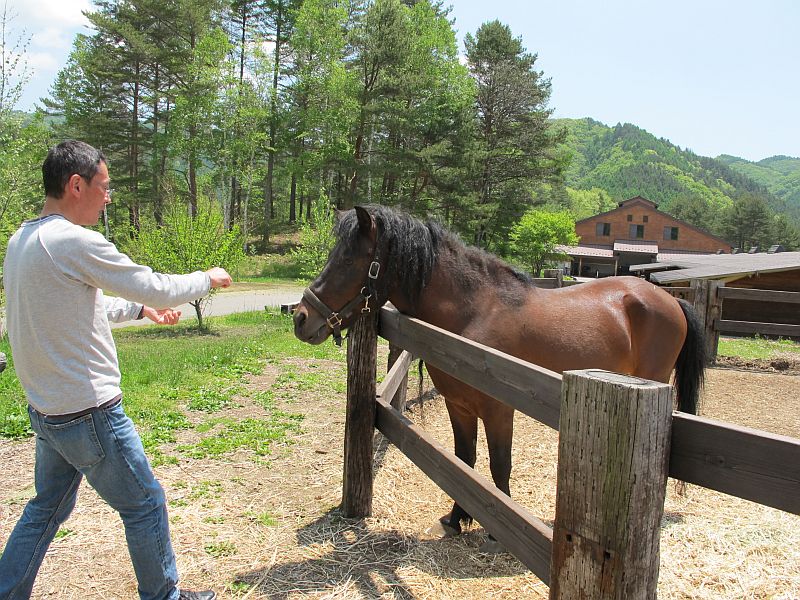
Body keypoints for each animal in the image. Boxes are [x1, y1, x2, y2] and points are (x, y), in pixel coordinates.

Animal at [294, 207, 708, 548]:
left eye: (349, 258)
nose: (301, 318)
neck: (474, 313)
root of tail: (670, 299)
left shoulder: (498, 410)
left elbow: (499, 465)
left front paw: (496, 528)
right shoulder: (459, 406)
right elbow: (465, 461)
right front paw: (457, 518)